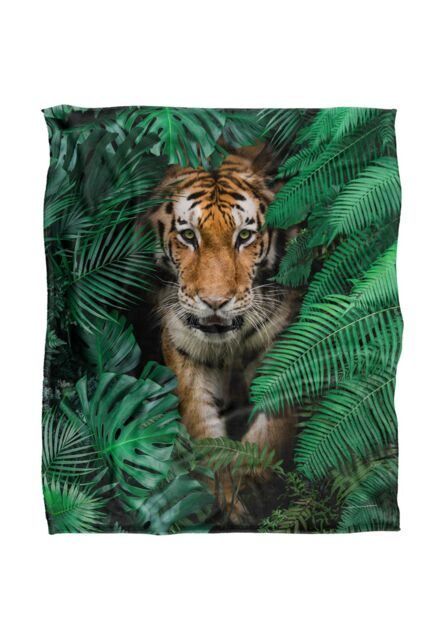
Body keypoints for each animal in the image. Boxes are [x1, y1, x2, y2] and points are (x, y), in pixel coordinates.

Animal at [138, 146, 299, 525]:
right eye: (188, 236)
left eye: (244, 236)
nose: (214, 302)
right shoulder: (187, 353)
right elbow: (204, 433)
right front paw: (220, 496)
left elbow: (272, 427)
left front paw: (252, 487)